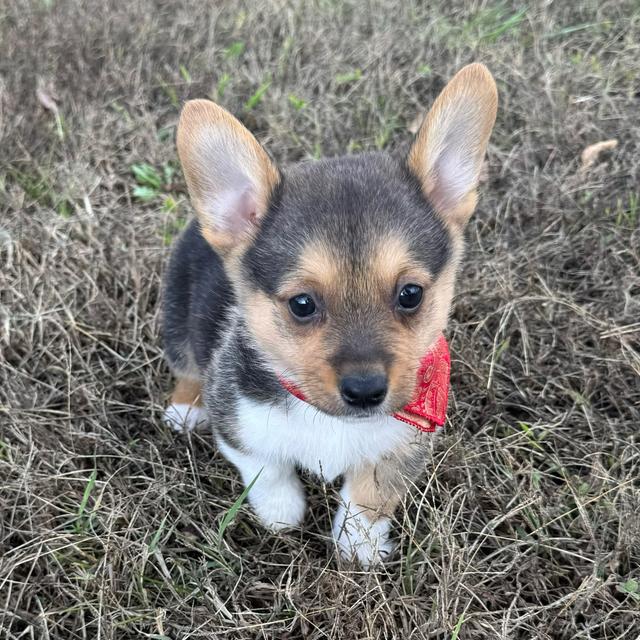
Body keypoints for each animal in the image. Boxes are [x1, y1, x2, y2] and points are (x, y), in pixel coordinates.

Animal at [162, 63, 498, 564]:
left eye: (411, 294)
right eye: (302, 304)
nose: (365, 391)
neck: (324, 416)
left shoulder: (404, 445)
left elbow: (371, 494)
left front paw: (357, 545)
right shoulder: (238, 427)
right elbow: (267, 469)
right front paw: (282, 515)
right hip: (176, 317)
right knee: (185, 365)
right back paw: (185, 408)